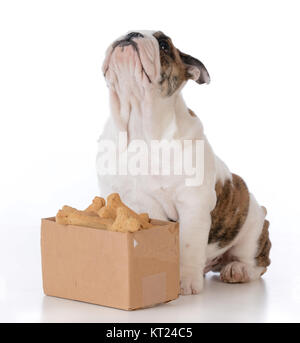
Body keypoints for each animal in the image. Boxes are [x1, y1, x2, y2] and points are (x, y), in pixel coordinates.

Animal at [97, 30, 270, 296]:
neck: (139, 124)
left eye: (164, 45)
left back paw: (237, 269)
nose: (132, 34)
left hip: (253, 229)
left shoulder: (193, 203)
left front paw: (186, 281)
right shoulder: (139, 201)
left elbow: (188, 244)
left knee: (257, 262)